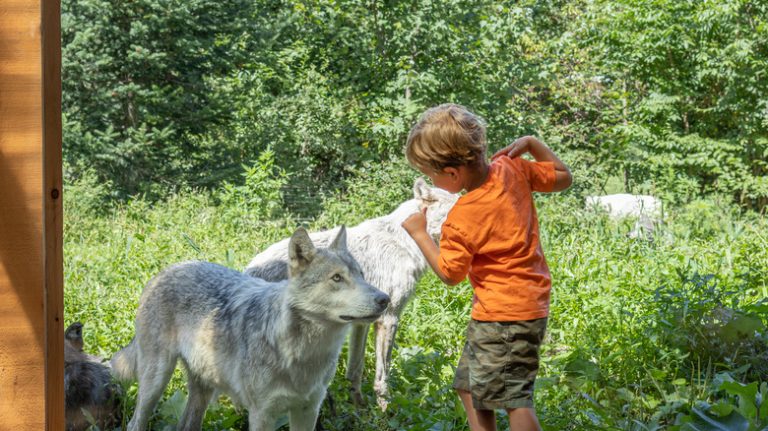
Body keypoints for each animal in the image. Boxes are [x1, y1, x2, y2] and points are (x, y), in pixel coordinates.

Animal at [110, 228, 388, 430]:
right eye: (337, 278)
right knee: (135, 424)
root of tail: (166, 270)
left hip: (202, 392)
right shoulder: (262, 414)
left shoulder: (308, 410)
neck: (301, 354)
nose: (385, 299)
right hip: (155, 382)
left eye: (361, 275)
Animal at [246, 178, 456, 408]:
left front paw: (359, 406)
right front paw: (385, 409)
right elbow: (383, 376)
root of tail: (249, 269)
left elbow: (355, 369)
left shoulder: (361, 323)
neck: (406, 242)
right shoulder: (389, 318)